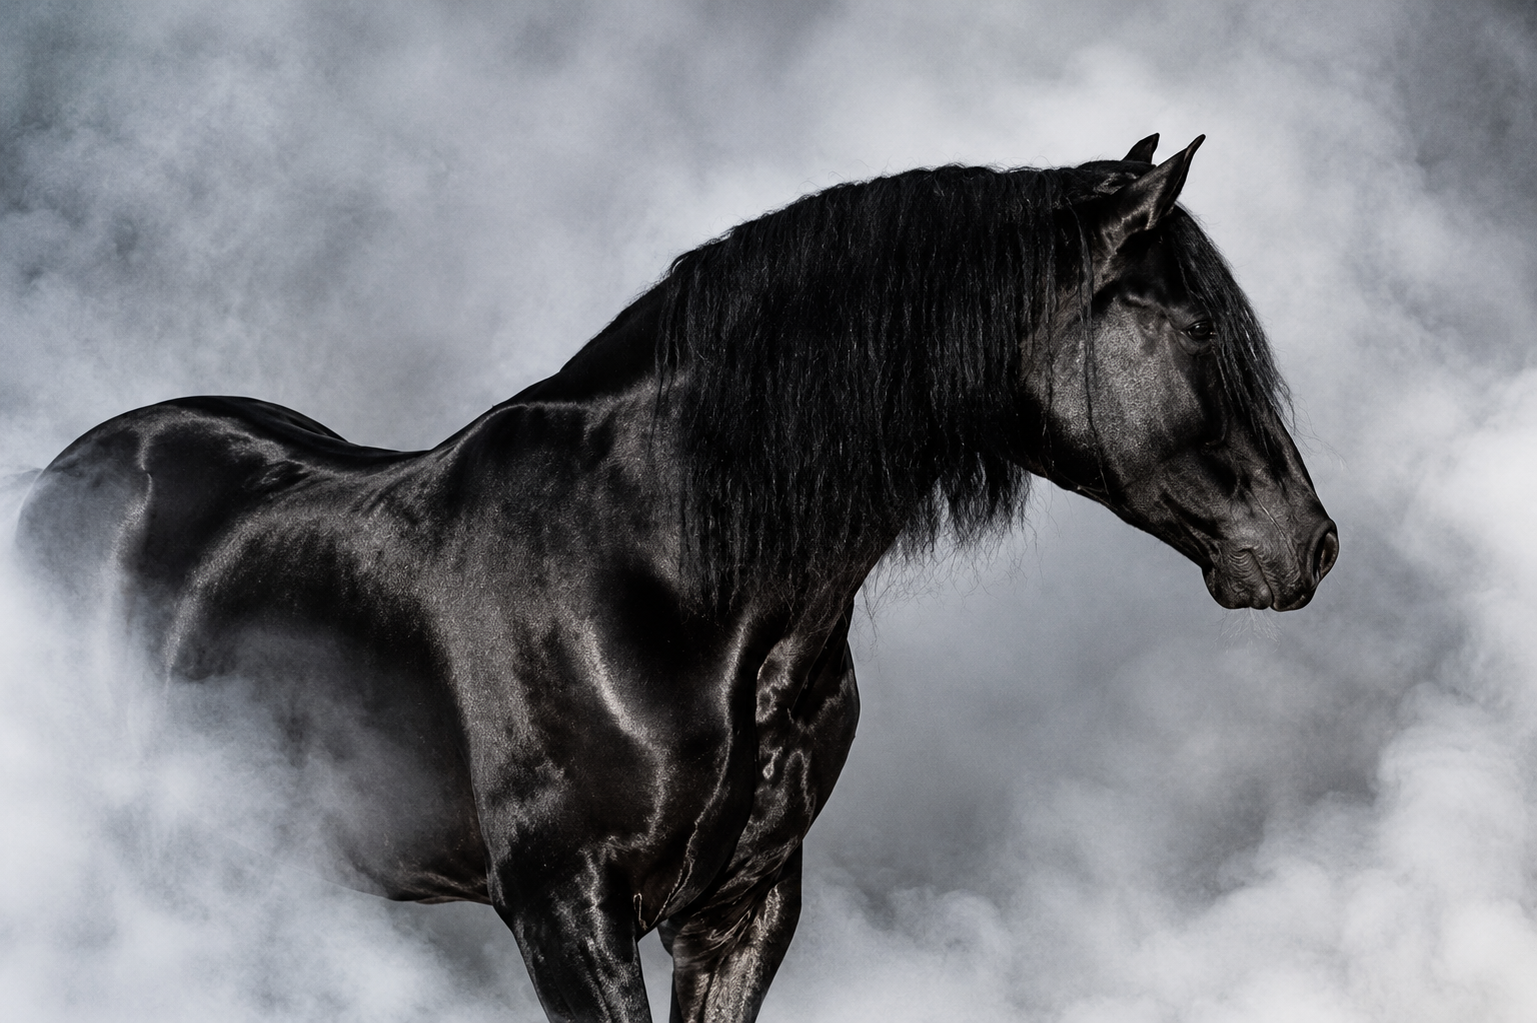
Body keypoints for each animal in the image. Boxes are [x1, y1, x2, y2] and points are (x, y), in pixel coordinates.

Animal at [17, 134, 1336, 1023]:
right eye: (1197, 328)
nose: (1309, 546)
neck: (669, 570)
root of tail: (61, 476)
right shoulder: (565, 913)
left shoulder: (745, 909)